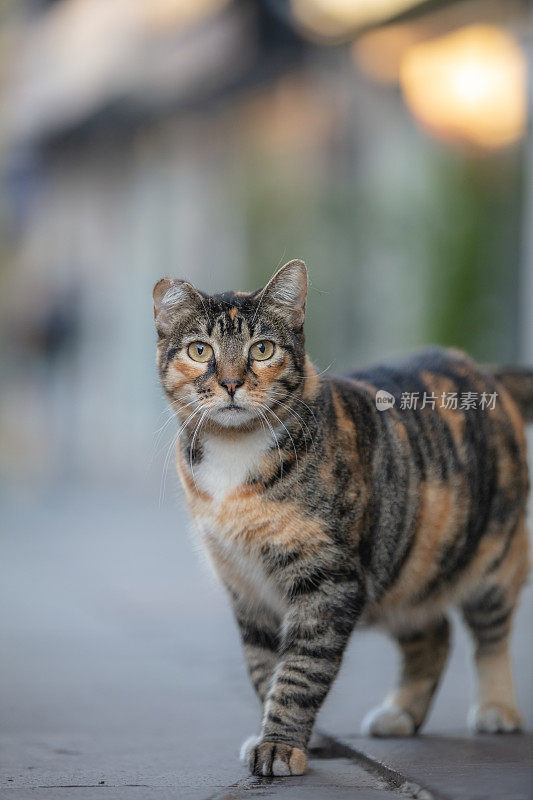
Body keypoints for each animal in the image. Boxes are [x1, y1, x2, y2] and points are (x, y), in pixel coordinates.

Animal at [152, 260, 528, 776]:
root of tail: (481, 370)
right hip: (406, 562)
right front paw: (281, 737)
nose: (230, 383)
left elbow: (300, 671)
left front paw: (279, 746)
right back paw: (401, 713)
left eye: (262, 349)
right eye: (199, 349)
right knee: (434, 633)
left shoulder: (329, 579)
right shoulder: (245, 589)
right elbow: (264, 670)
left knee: (490, 632)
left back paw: (496, 708)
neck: (236, 460)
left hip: (493, 556)